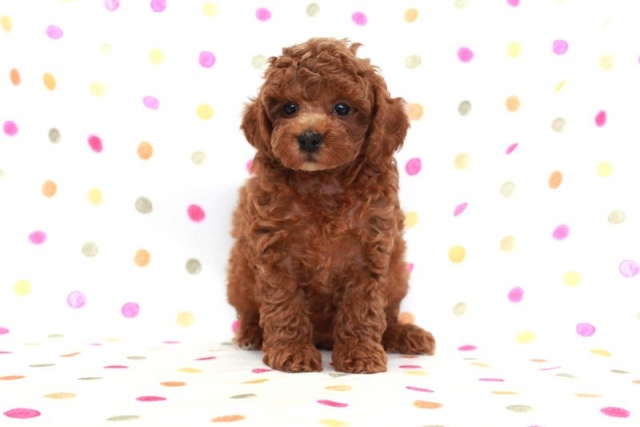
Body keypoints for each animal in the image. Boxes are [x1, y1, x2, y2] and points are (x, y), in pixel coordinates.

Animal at [227, 38, 435, 373]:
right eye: (289, 107)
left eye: (342, 108)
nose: (309, 138)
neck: (323, 182)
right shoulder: (275, 249)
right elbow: (284, 303)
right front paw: (292, 351)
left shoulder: (370, 250)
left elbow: (363, 308)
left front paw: (360, 353)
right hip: (239, 278)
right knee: (249, 311)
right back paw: (251, 334)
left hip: (397, 277)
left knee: (388, 316)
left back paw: (404, 334)